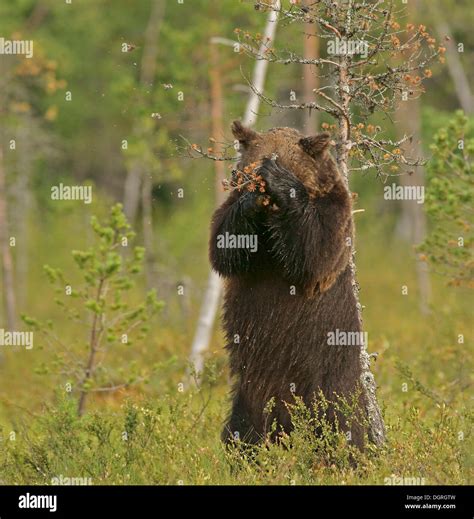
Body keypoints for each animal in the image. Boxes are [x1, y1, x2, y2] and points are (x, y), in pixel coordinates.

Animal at [210, 121, 366, 450]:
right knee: (242, 427)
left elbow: (316, 250)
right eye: (249, 168)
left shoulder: (335, 210)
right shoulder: (233, 223)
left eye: (283, 160)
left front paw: (280, 180)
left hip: (328, 375)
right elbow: (225, 246)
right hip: (250, 391)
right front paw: (250, 199)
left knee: (341, 421)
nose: (260, 183)